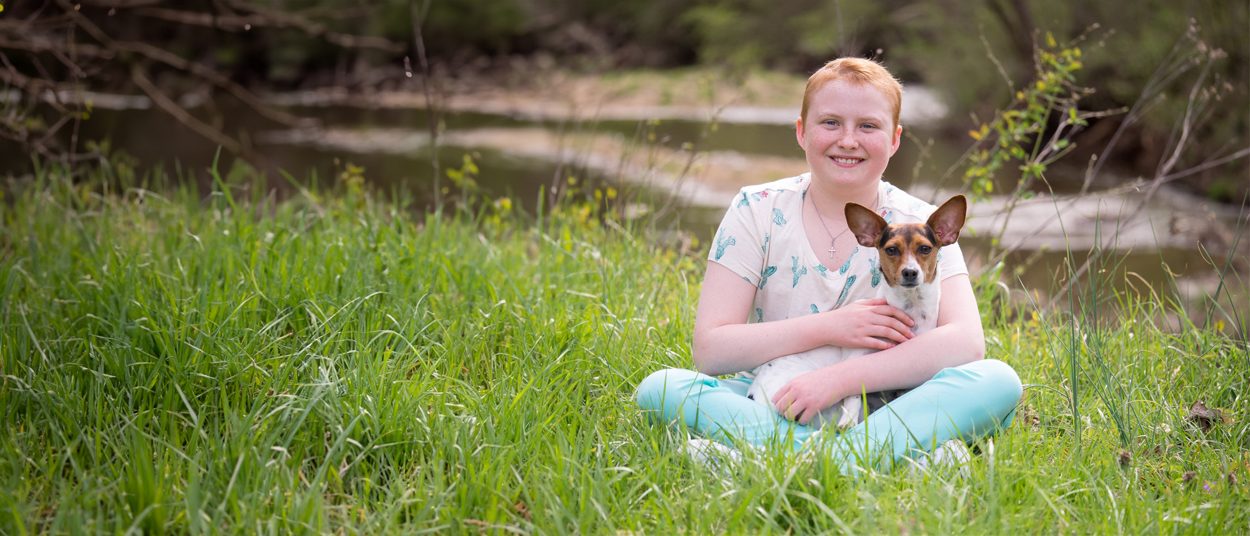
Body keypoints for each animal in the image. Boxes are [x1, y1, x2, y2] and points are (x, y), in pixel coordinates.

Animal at [745, 193, 970, 427]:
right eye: (891, 250)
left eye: (925, 249)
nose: (909, 272)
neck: (911, 307)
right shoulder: (856, 359)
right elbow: (853, 392)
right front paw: (848, 422)